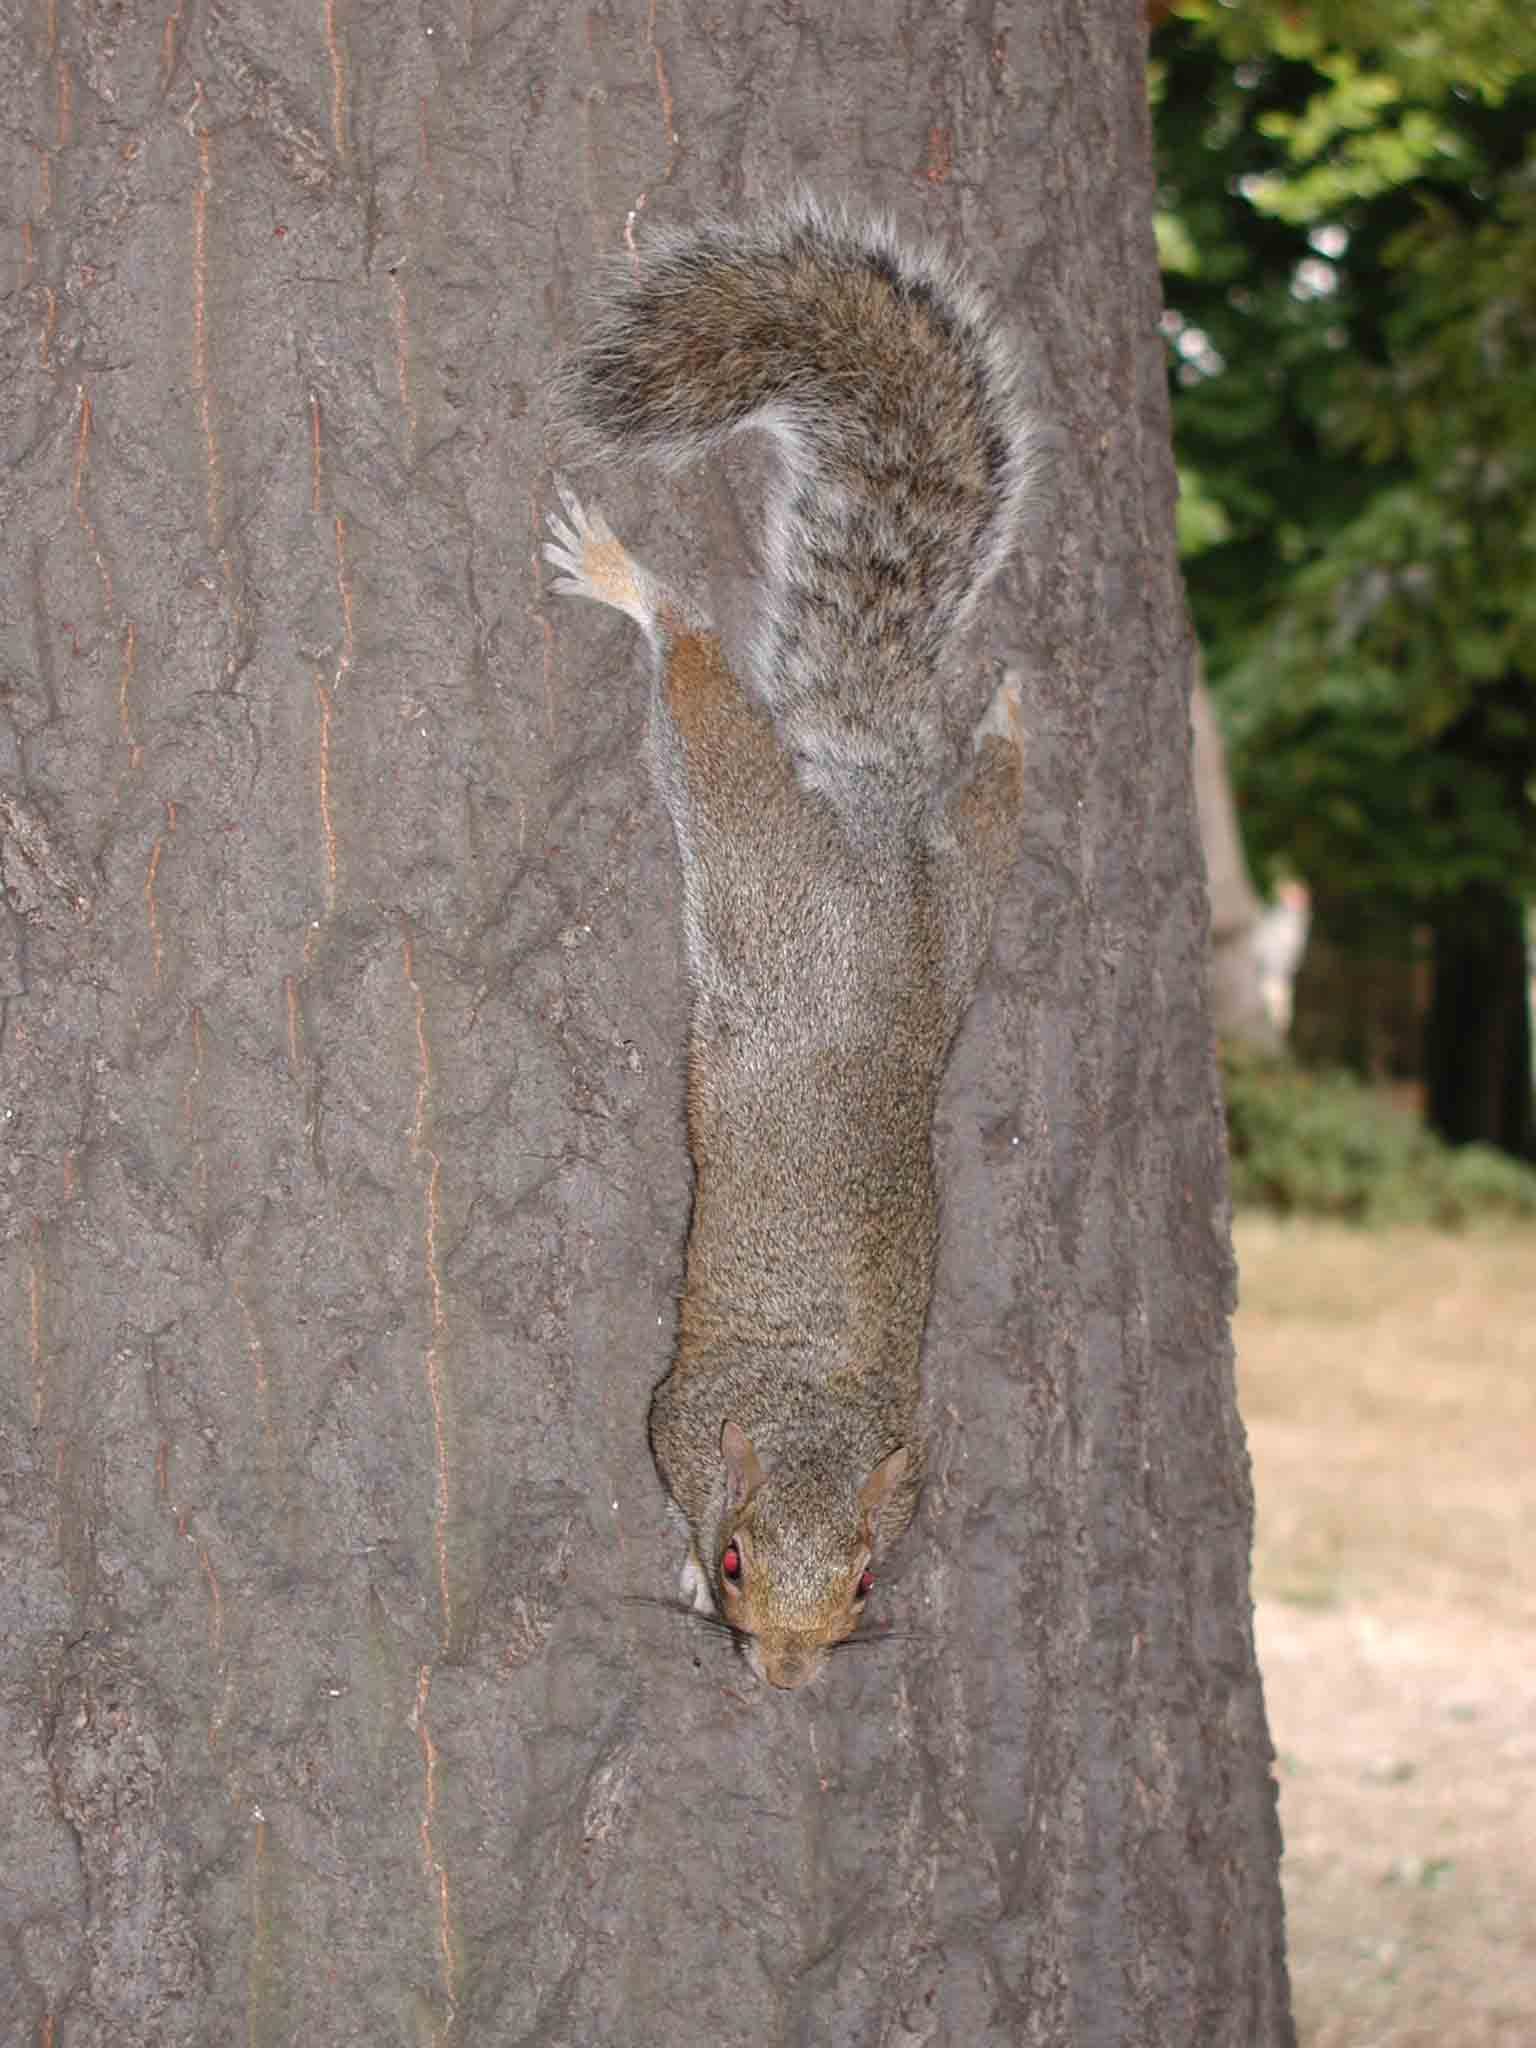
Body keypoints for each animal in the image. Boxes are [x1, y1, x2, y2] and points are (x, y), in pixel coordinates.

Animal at [548, 199, 1040, 1687]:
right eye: (730, 1562)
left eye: (868, 1581)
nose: (784, 1677)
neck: (811, 1408)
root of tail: (871, 834)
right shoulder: (677, 1411)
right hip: (761, 844)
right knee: (705, 688)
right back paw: (633, 583)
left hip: (954, 915)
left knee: (986, 815)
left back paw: (1006, 721)